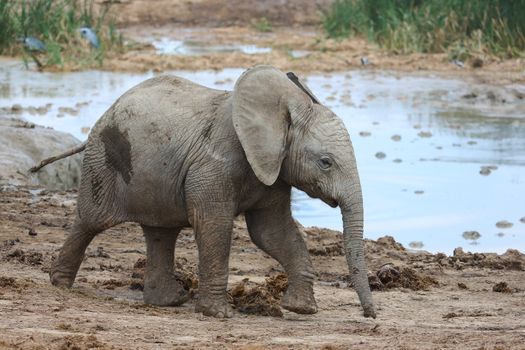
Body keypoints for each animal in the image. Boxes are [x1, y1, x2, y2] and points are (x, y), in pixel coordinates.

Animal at [44, 66, 372, 320]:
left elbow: (272, 232)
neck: (283, 111)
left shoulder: (274, 170)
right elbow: (215, 225)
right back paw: (59, 284)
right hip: (103, 159)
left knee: (161, 233)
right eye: (326, 162)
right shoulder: (214, 165)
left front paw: (302, 309)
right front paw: (218, 314)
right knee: (91, 221)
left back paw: (169, 301)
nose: (370, 315)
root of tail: (109, 109)